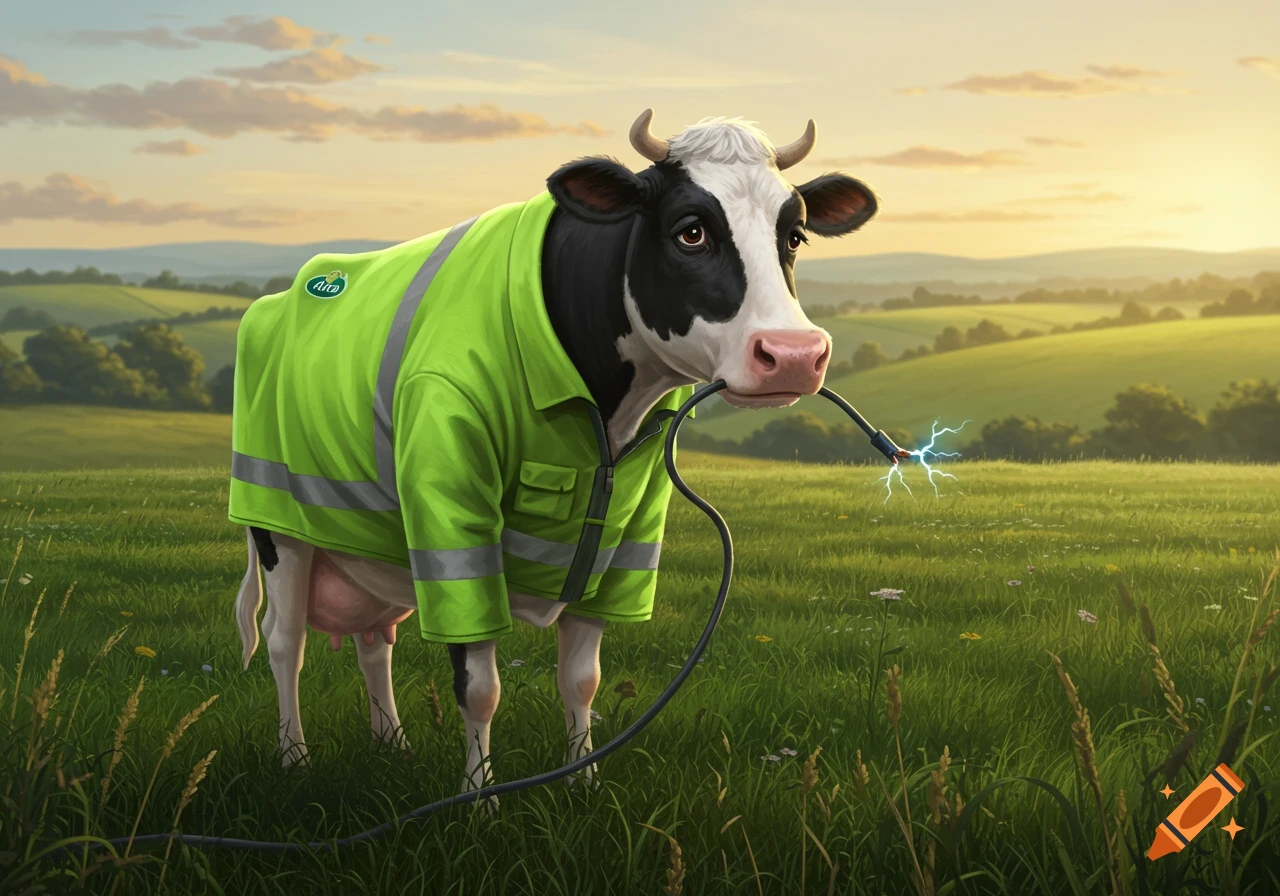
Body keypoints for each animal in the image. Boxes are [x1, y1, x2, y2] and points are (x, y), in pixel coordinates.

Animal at [230, 109, 877, 803]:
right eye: (691, 231)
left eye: (796, 235)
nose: (793, 354)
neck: (607, 407)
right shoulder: (453, 522)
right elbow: (479, 688)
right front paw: (480, 798)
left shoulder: (628, 527)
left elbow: (581, 679)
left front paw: (584, 782)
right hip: (279, 524)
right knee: (285, 642)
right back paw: (295, 758)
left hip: (370, 545)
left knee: (376, 639)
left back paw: (392, 743)